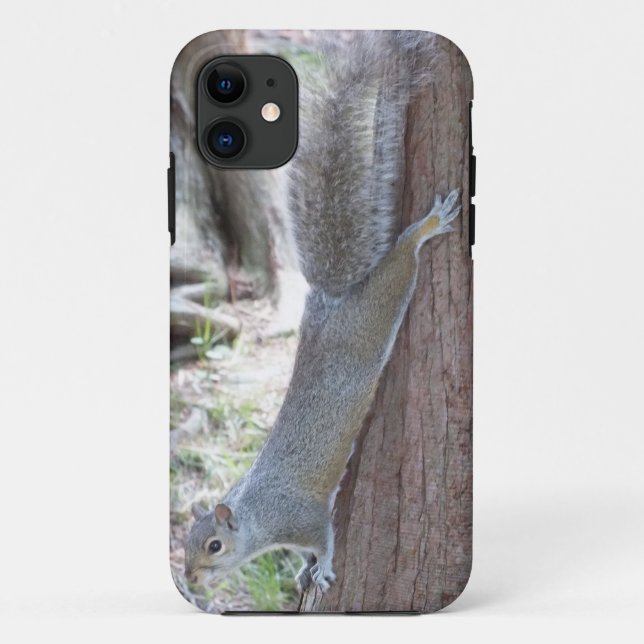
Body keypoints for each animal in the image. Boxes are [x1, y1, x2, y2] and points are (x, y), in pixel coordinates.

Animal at [184, 32, 461, 593]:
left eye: (214, 546)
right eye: (185, 544)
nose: (190, 579)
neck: (258, 517)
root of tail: (328, 302)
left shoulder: (303, 517)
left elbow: (325, 537)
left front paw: (325, 567)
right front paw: (304, 570)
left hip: (378, 309)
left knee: (402, 262)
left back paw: (425, 228)